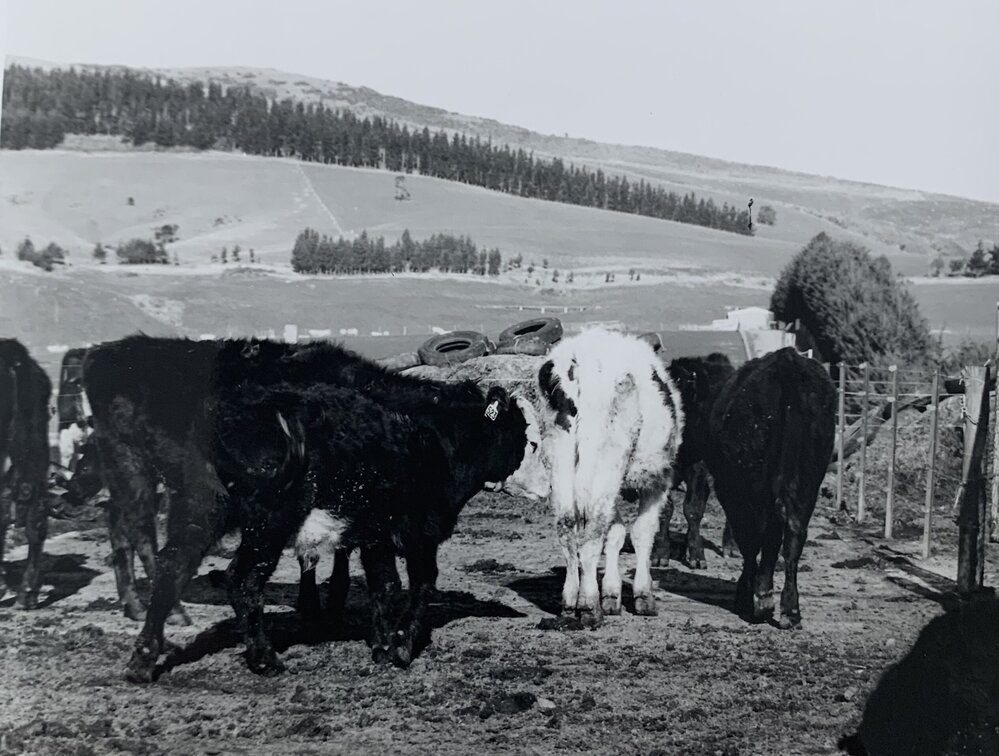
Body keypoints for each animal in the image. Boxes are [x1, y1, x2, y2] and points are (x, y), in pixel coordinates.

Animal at [535, 328, 683, 627]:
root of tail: (580, 357)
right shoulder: (659, 481)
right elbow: (641, 532)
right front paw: (643, 595)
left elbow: (615, 533)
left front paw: (612, 595)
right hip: (607, 458)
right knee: (592, 529)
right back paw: (589, 605)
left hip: (561, 456)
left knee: (567, 527)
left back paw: (570, 601)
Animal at [705, 347, 835, 628]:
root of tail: (788, 362)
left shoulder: (730, 491)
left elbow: (750, 542)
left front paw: (747, 594)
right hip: (809, 478)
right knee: (794, 533)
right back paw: (790, 610)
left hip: (753, 483)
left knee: (762, 534)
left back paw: (763, 599)